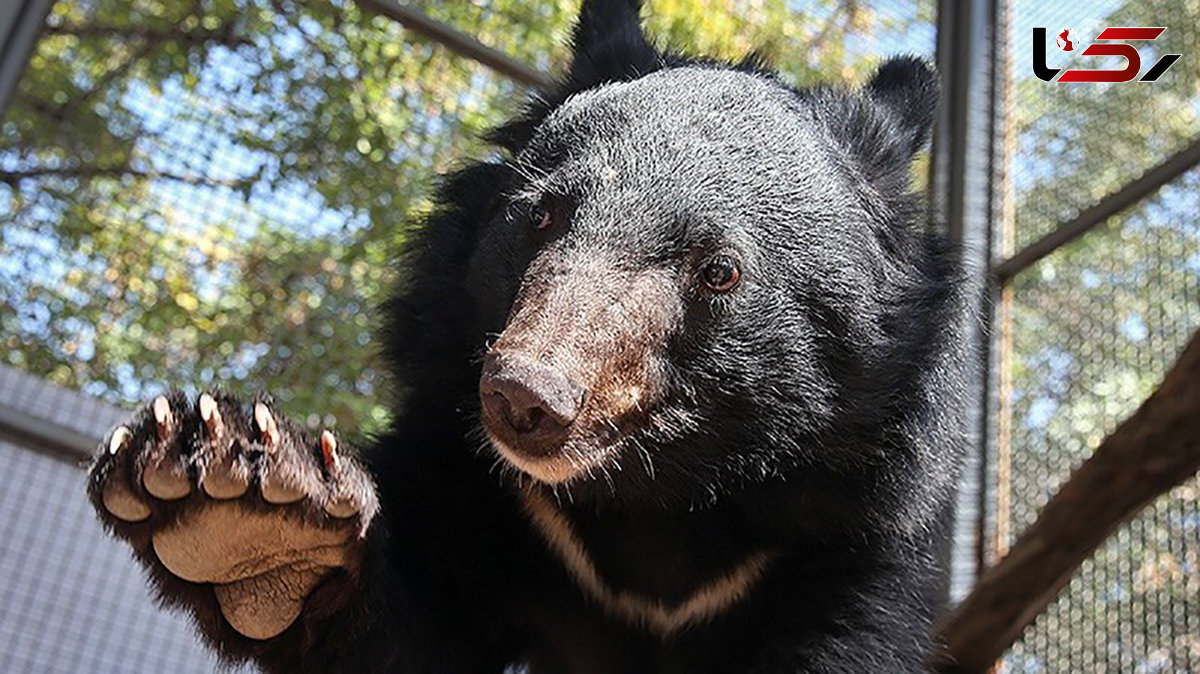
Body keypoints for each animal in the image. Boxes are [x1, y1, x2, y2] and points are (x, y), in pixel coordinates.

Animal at [87, 2, 964, 666]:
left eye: (719, 271)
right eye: (542, 215)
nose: (524, 399)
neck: (655, 499)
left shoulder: (849, 542)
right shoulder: (492, 498)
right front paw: (240, 502)